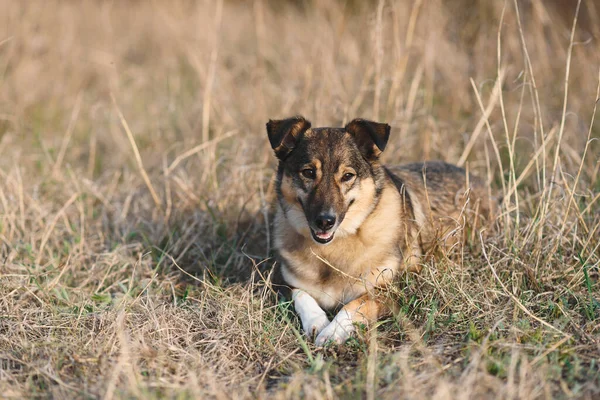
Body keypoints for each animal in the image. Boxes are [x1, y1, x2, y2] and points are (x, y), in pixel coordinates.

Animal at [268, 115, 492, 346]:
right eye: (308, 172)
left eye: (347, 176)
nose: (325, 221)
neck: (335, 246)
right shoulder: (285, 284)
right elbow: (302, 297)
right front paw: (317, 322)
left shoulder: (395, 289)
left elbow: (354, 305)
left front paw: (332, 332)